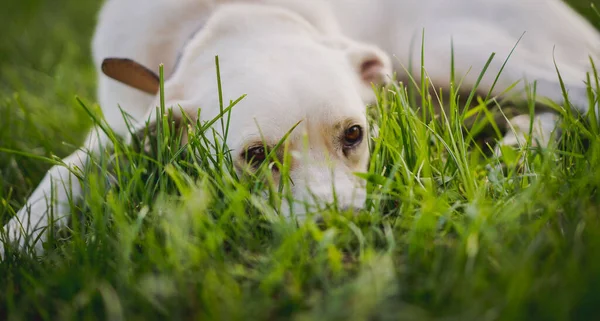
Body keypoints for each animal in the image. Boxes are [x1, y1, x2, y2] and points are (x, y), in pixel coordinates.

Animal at [1, 0, 600, 255]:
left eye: (354, 134)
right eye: (255, 157)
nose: (347, 228)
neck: (223, 14)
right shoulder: (119, 124)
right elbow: (60, 176)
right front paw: (18, 244)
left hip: (447, 46)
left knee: (580, 91)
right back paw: (519, 148)